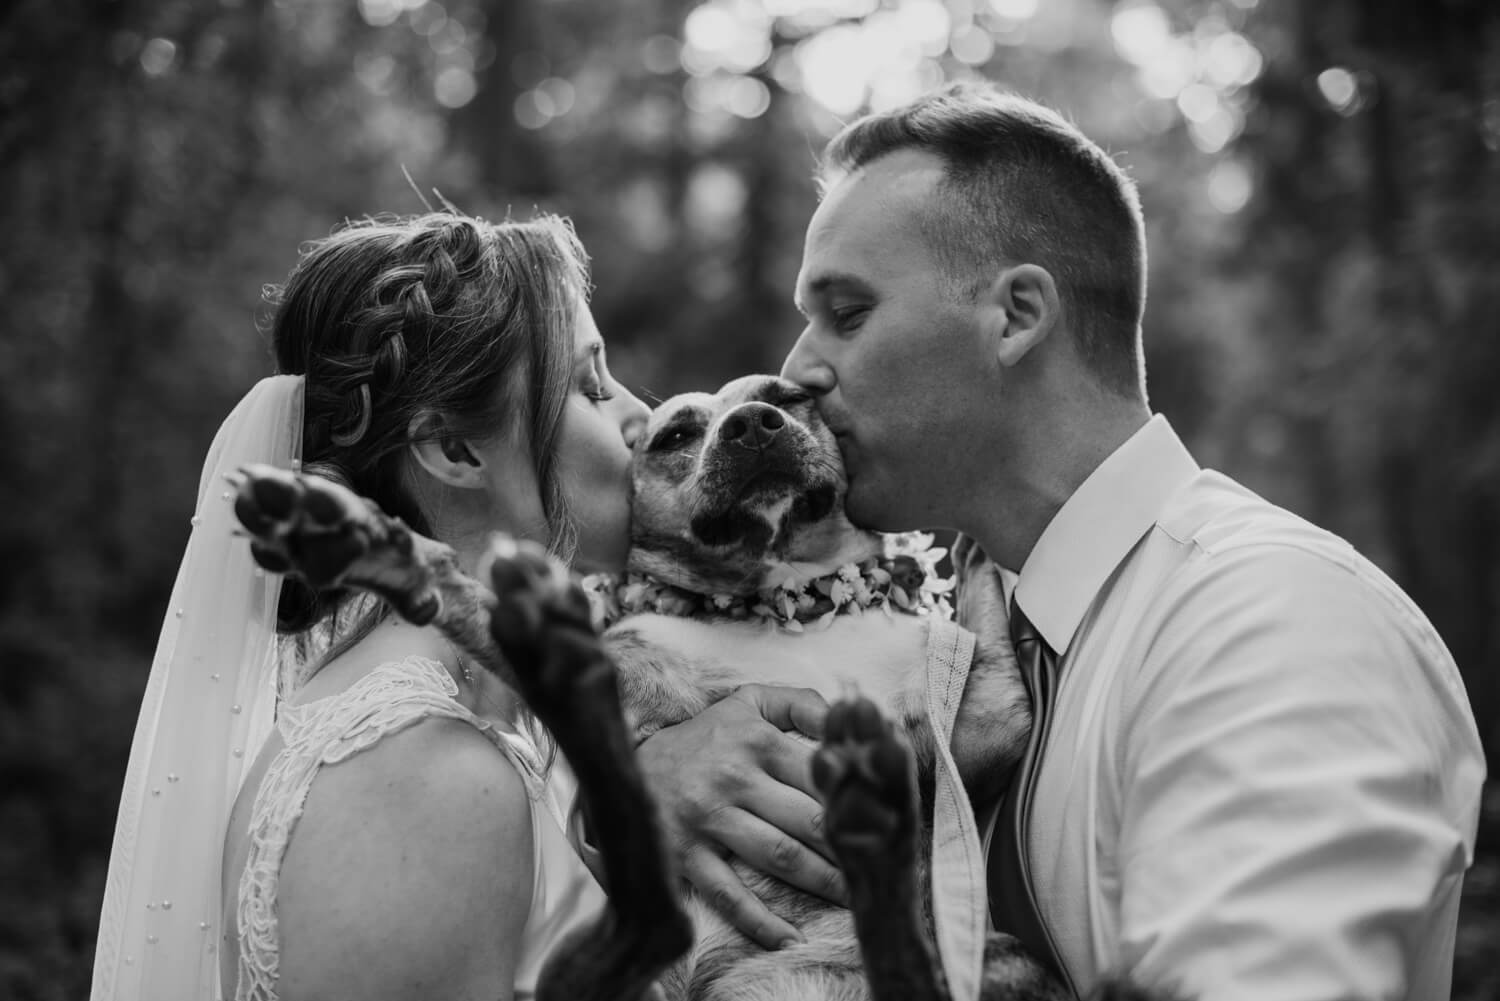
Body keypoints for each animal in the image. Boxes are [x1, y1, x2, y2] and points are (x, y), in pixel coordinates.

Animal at [234, 373, 1164, 1001]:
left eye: (790, 395)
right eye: (677, 434)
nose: (755, 424)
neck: (790, 612)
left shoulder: (974, 726)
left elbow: (988, 646)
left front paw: (969, 560)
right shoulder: (644, 690)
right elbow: (464, 593)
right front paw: (387, 548)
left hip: (1003, 963)